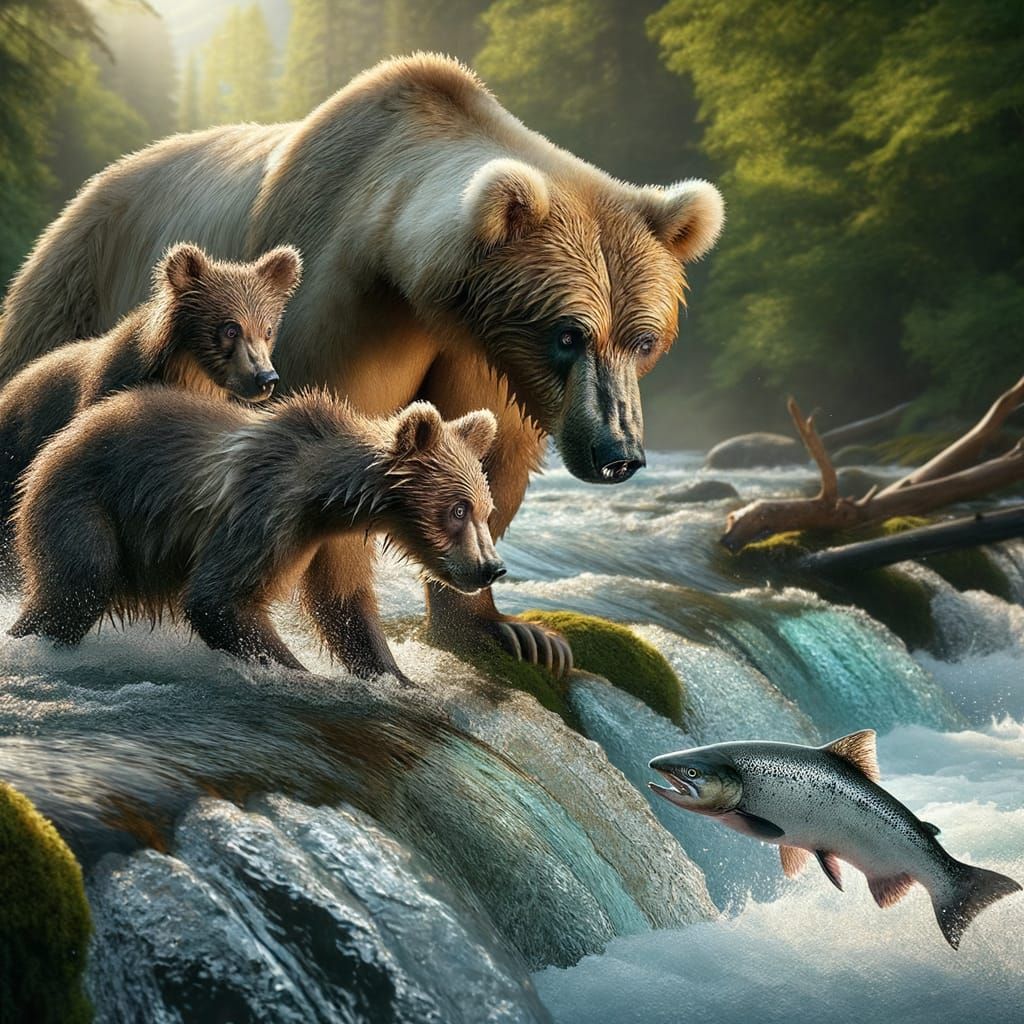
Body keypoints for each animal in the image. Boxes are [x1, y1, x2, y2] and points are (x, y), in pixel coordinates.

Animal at [11, 390, 503, 681]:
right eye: (457, 509)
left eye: (485, 510)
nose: (491, 567)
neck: (330, 499)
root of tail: (63, 437)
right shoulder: (264, 514)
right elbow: (218, 598)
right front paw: (301, 673)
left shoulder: (335, 542)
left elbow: (345, 607)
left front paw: (396, 680)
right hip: (84, 503)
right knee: (77, 585)